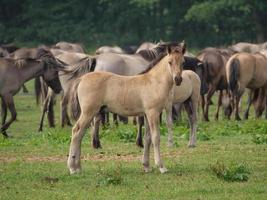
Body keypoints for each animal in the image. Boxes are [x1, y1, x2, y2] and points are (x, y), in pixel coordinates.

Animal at [66, 43, 186, 174]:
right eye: (170, 62)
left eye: (183, 62)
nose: (178, 79)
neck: (154, 82)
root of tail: (81, 79)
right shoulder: (153, 113)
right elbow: (156, 138)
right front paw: (161, 166)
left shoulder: (146, 114)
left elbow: (147, 138)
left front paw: (146, 166)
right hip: (88, 112)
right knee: (76, 131)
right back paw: (72, 168)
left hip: (90, 113)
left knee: (80, 134)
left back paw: (78, 167)